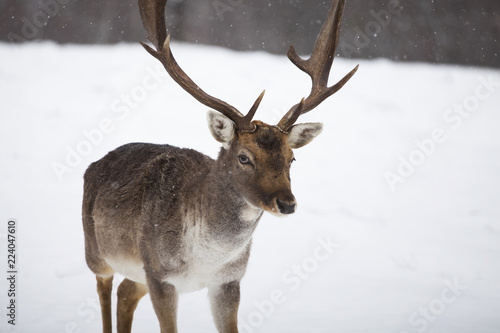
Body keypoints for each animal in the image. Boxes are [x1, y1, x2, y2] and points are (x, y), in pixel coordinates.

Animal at [82, 0, 356, 332]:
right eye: (244, 157)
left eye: (292, 158)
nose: (287, 203)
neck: (204, 259)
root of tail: (94, 165)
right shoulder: (160, 274)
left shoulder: (229, 280)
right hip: (96, 251)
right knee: (105, 287)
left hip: (138, 272)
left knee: (125, 292)